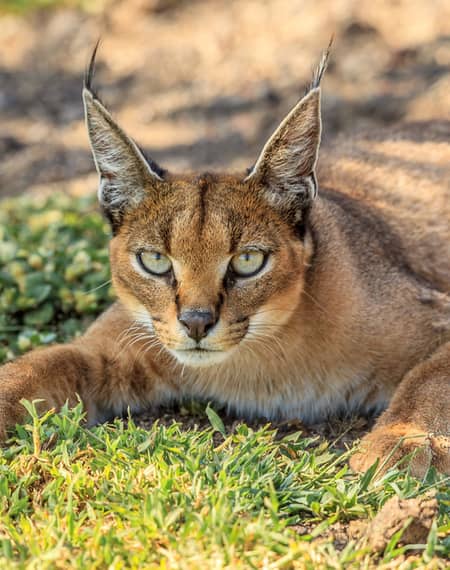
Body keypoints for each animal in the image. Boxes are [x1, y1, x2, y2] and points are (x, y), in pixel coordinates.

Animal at [0, 46, 448, 474]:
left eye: (248, 261)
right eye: (155, 260)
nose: (196, 322)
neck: (260, 364)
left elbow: (430, 376)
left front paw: (404, 440)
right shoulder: (102, 350)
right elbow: (42, 363)